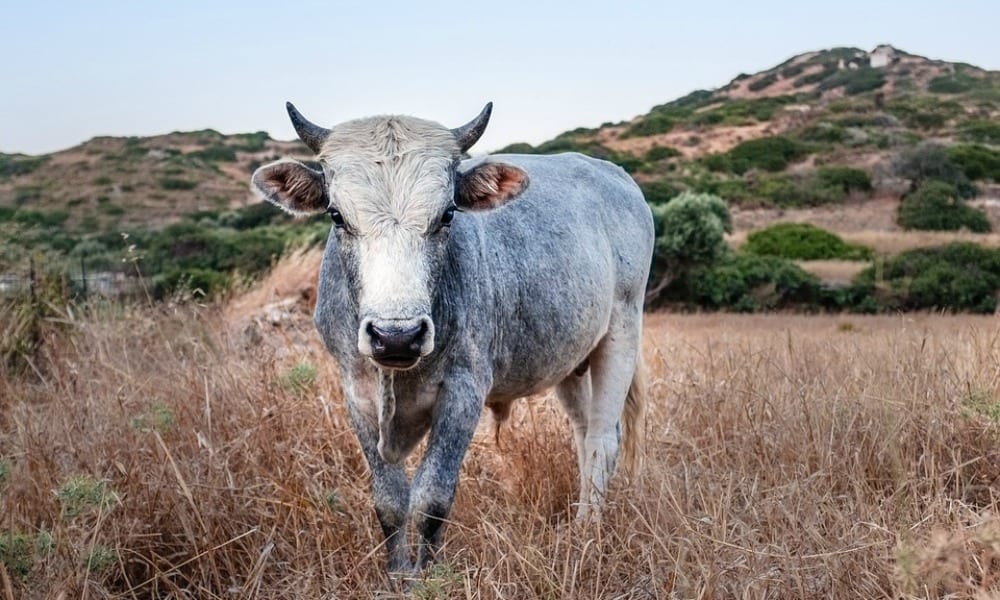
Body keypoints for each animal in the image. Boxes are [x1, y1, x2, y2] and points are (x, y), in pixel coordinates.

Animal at [250, 102, 656, 572]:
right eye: (336, 215)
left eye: (446, 214)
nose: (397, 336)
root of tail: (616, 176)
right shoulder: (356, 393)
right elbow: (390, 500)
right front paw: (397, 575)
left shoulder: (463, 391)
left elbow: (431, 498)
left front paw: (427, 575)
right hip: (571, 362)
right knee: (583, 433)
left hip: (622, 334)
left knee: (602, 440)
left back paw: (587, 531)